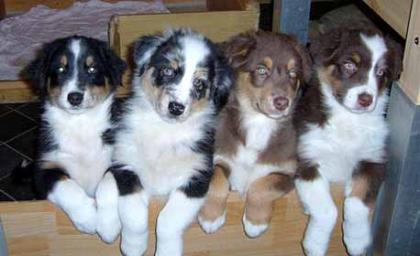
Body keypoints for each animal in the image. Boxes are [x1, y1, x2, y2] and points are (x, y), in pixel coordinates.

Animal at [26, 35, 126, 234]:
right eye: (61, 68)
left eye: (92, 68)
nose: (74, 97)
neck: (80, 124)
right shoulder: (43, 170)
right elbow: (65, 185)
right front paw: (88, 219)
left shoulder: (120, 159)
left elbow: (108, 181)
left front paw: (108, 225)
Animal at [95, 28, 233, 256]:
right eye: (168, 71)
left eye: (199, 83)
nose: (176, 108)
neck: (164, 129)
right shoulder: (126, 167)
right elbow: (133, 214)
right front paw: (132, 246)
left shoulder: (196, 179)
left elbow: (168, 220)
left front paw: (166, 251)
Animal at [198, 30, 312, 238]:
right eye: (261, 70)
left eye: (293, 74)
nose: (282, 103)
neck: (259, 122)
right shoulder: (219, 157)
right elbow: (217, 179)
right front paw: (210, 217)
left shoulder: (288, 172)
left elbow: (262, 185)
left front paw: (255, 222)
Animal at [294, 28, 402, 256]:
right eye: (349, 65)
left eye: (381, 73)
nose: (366, 99)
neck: (348, 119)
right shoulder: (307, 161)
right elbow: (327, 209)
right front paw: (315, 245)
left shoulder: (373, 161)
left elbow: (355, 204)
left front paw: (357, 242)